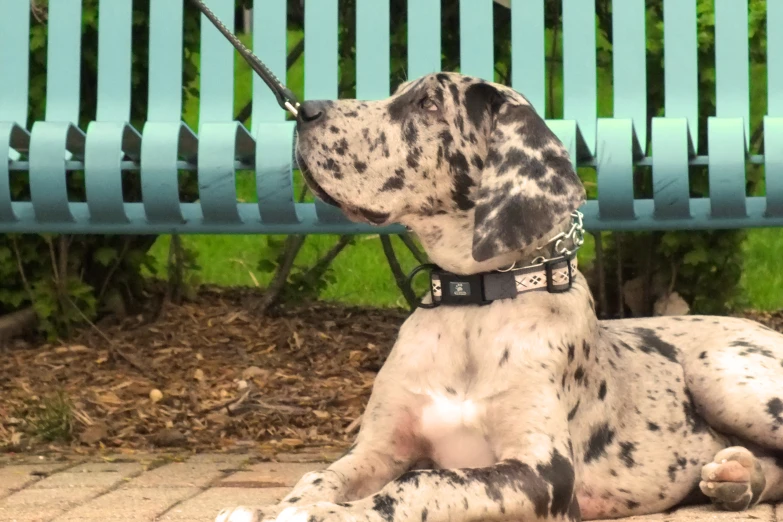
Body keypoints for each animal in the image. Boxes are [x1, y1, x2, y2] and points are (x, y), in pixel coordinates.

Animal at [219, 73, 783, 520]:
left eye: (429, 104)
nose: (305, 111)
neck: (473, 306)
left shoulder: (542, 470)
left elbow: (422, 481)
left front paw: (326, 514)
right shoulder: (378, 448)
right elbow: (320, 476)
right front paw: (273, 508)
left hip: (720, 372)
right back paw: (737, 478)